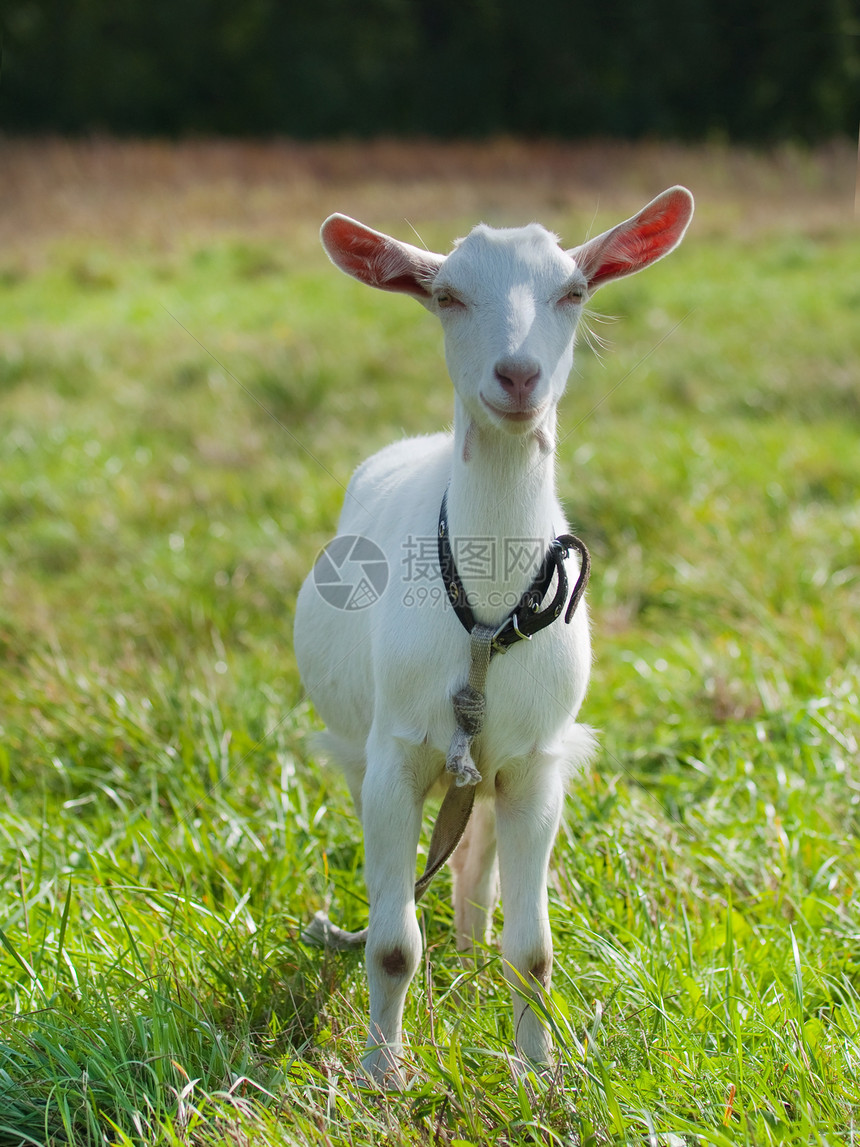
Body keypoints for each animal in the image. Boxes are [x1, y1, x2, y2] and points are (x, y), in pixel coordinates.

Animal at [295, 190, 692, 1082]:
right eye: (447, 295)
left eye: (573, 290)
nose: (518, 376)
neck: (485, 608)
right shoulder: (394, 755)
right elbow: (392, 943)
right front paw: (381, 1075)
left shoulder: (538, 762)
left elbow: (534, 949)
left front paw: (539, 1075)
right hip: (361, 746)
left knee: (473, 856)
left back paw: (473, 960)